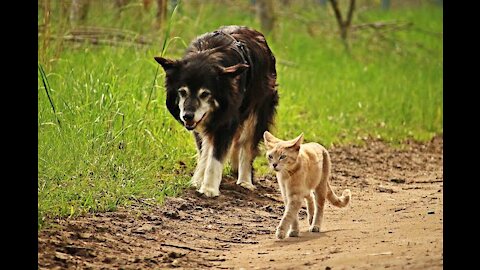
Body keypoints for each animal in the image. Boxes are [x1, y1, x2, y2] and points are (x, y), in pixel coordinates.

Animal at [156, 26, 280, 197]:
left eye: (205, 94)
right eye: (182, 92)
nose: (187, 116)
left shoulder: (225, 122)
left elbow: (215, 157)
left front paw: (209, 188)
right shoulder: (202, 123)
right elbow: (205, 152)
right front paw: (198, 181)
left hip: (257, 114)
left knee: (247, 146)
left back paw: (245, 181)